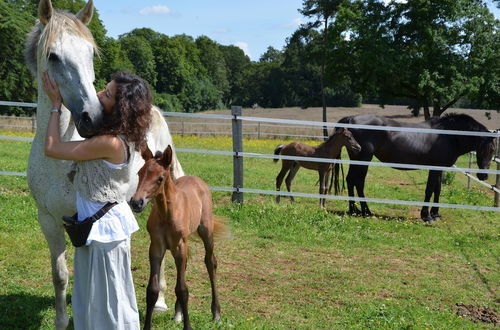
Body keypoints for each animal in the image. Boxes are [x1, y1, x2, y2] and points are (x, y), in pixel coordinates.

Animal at [24, 0, 182, 328]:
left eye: (90, 53)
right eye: (53, 55)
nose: (92, 118)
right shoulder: (48, 219)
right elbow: (60, 275)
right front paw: (62, 320)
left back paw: (161, 301)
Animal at [129, 146, 225, 328]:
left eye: (160, 178)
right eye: (139, 173)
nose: (136, 202)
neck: (166, 213)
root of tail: (196, 179)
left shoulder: (179, 246)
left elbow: (182, 289)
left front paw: (188, 326)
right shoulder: (156, 247)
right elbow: (152, 290)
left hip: (205, 232)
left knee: (211, 262)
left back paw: (216, 313)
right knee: (185, 266)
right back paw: (178, 313)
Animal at [332, 113, 496, 222]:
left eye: (493, 150)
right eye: (483, 148)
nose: (483, 176)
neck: (449, 135)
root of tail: (351, 119)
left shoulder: (440, 168)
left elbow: (437, 189)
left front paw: (435, 214)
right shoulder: (435, 168)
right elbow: (429, 190)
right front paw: (427, 216)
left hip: (356, 159)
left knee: (350, 180)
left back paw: (354, 210)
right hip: (363, 159)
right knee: (358, 182)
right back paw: (367, 212)